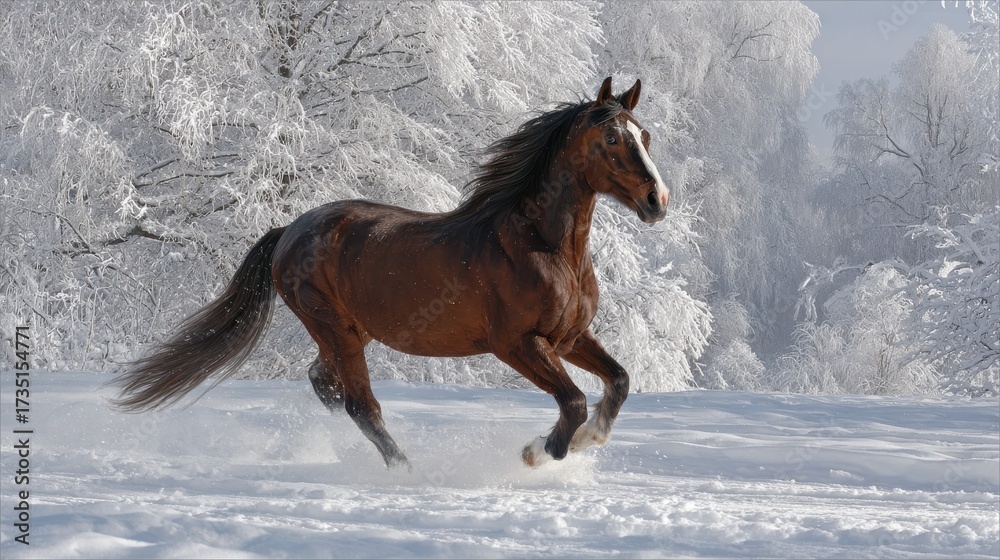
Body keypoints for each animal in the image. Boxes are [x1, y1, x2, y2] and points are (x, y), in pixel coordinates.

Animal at [111, 76, 670, 470]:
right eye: (612, 137)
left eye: (644, 135)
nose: (657, 200)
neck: (543, 246)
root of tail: (290, 230)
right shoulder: (518, 344)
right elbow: (573, 402)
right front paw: (538, 452)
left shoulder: (570, 336)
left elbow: (619, 381)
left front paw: (589, 440)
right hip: (333, 326)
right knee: (361, 405)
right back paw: (404, 468)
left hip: (348, 331)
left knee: (326, 383)